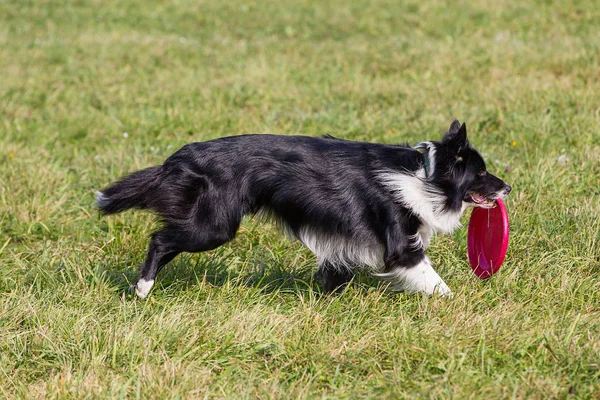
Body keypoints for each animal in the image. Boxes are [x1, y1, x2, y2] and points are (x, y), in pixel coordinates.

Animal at [97, 120, 510, 298]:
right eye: (481, 172)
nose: (508, 187)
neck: (425, 174)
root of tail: (183, 155)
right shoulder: (400, 244)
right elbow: (433, 280)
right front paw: (458, 304)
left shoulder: (343, 242)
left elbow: (335, 274)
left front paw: (327, 302)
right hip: (214, 226)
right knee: (160, 240)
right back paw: (142, 289)